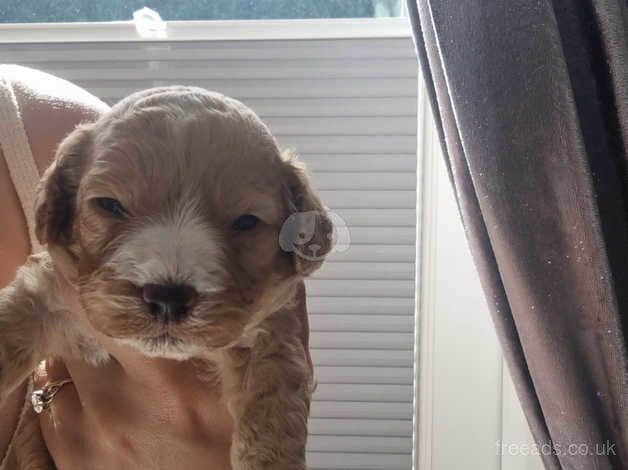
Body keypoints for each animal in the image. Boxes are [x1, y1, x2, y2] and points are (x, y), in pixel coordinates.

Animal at [0, 86, 334, 468]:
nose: (168, 298)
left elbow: (274, 398)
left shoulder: (273, 328)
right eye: (110, 205)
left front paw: (267, 459)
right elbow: (10, 326)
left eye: (246, 222)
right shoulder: (47, 292)